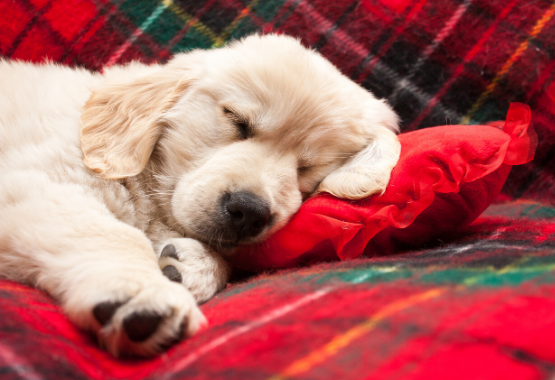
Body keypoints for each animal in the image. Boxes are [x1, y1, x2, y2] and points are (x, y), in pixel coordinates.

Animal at [0, 33, 400, 356]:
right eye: (237, 121)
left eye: (307, 166)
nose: (249, 212)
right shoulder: (37, 182)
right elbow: (112, 234)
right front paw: (142, 293)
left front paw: (190, 265)